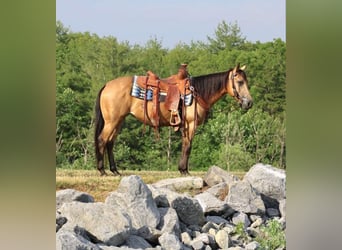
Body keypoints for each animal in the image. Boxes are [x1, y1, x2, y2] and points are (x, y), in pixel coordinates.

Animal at [95, 63, 252, 175]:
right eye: (239, 82)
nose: (249, 102)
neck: (197, 93)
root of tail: (107, 85)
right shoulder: (191, 124)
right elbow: (188, 147)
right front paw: (184, 171)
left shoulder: (185, 126)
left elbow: (185, 145)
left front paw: (182, 169)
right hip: (112, 121)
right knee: (102, 140)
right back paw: (102, 170)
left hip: (119, 121)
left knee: (110, 142)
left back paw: (115, 170)